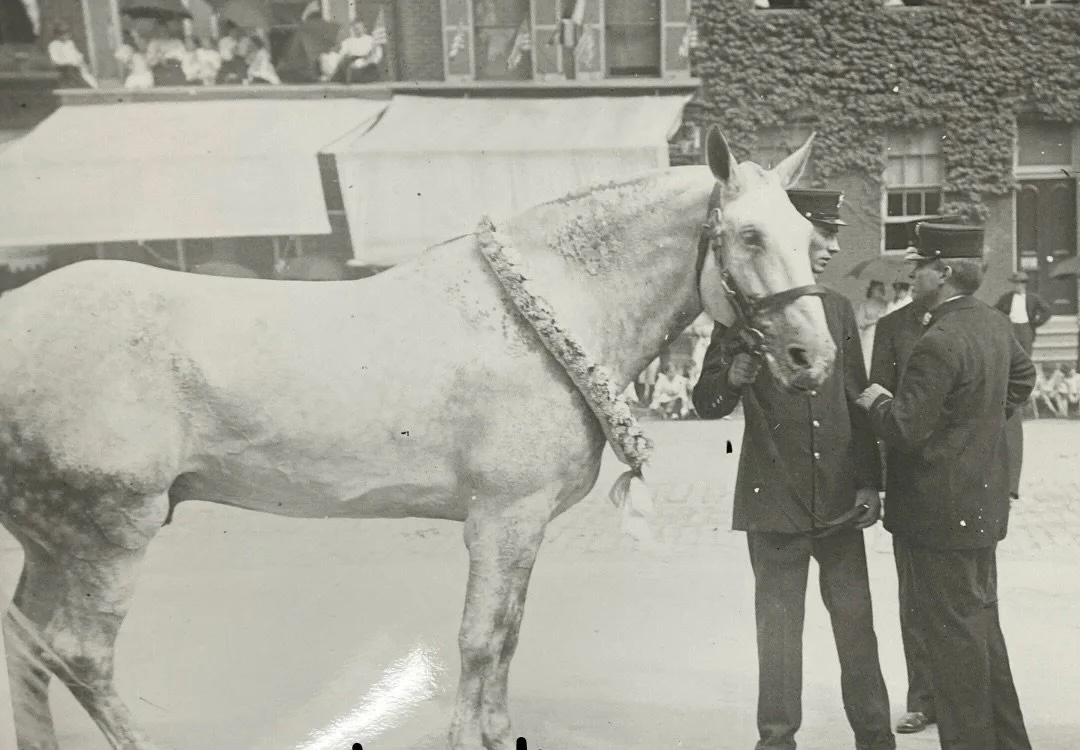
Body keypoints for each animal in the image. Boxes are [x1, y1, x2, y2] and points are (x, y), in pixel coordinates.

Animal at [0, 126, 836, 750]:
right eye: (749, 235)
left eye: (808, 236)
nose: (813, 359)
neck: (545, 313)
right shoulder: (501, 517)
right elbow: (479, 638)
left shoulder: (524, 525)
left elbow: (508, 634)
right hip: (110, 534)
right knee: (80, 655)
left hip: (51, 539)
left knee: (26, 643)